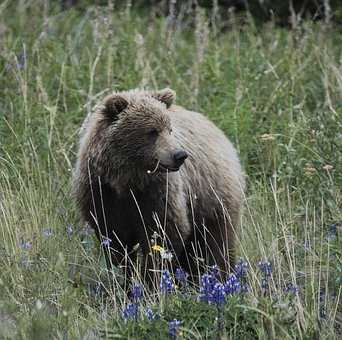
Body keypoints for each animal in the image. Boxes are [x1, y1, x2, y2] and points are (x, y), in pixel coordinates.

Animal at [73, 87, 244, 282]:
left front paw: (151, 280)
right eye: (152, 131)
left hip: (212, 198)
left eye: (169, 129)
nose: (179, 155)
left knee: (217, 244)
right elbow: (115, 241)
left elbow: (163, 236)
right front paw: (125, 278)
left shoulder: (158, 194)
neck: (128, 181)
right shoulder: (102, 194)